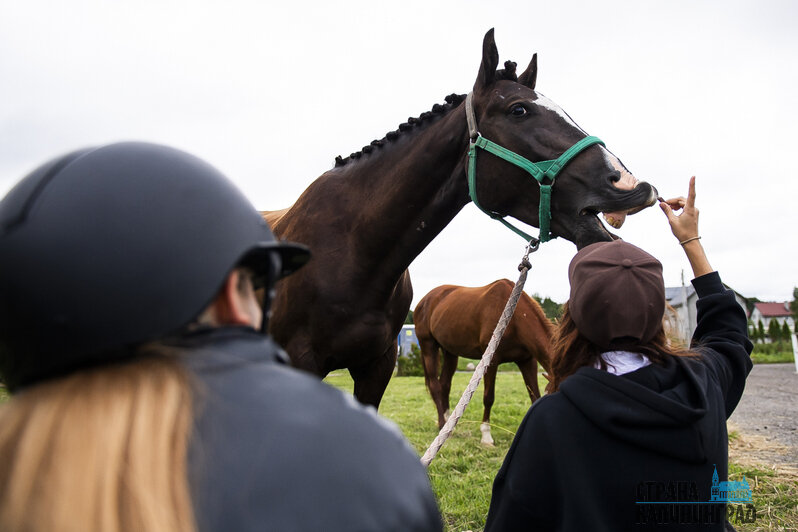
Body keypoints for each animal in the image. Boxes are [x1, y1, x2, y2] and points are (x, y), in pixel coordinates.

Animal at [414, 280, 553, 445]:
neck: (514, 318)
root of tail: (424, 301)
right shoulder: (491, 362)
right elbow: (488, 398)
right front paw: (486, 436)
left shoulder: (527, 361)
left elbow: (534, 395)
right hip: (429, 347)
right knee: (435, 386)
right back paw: (442, 424)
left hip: (450, 352)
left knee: (445, 385)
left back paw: (448, 426)